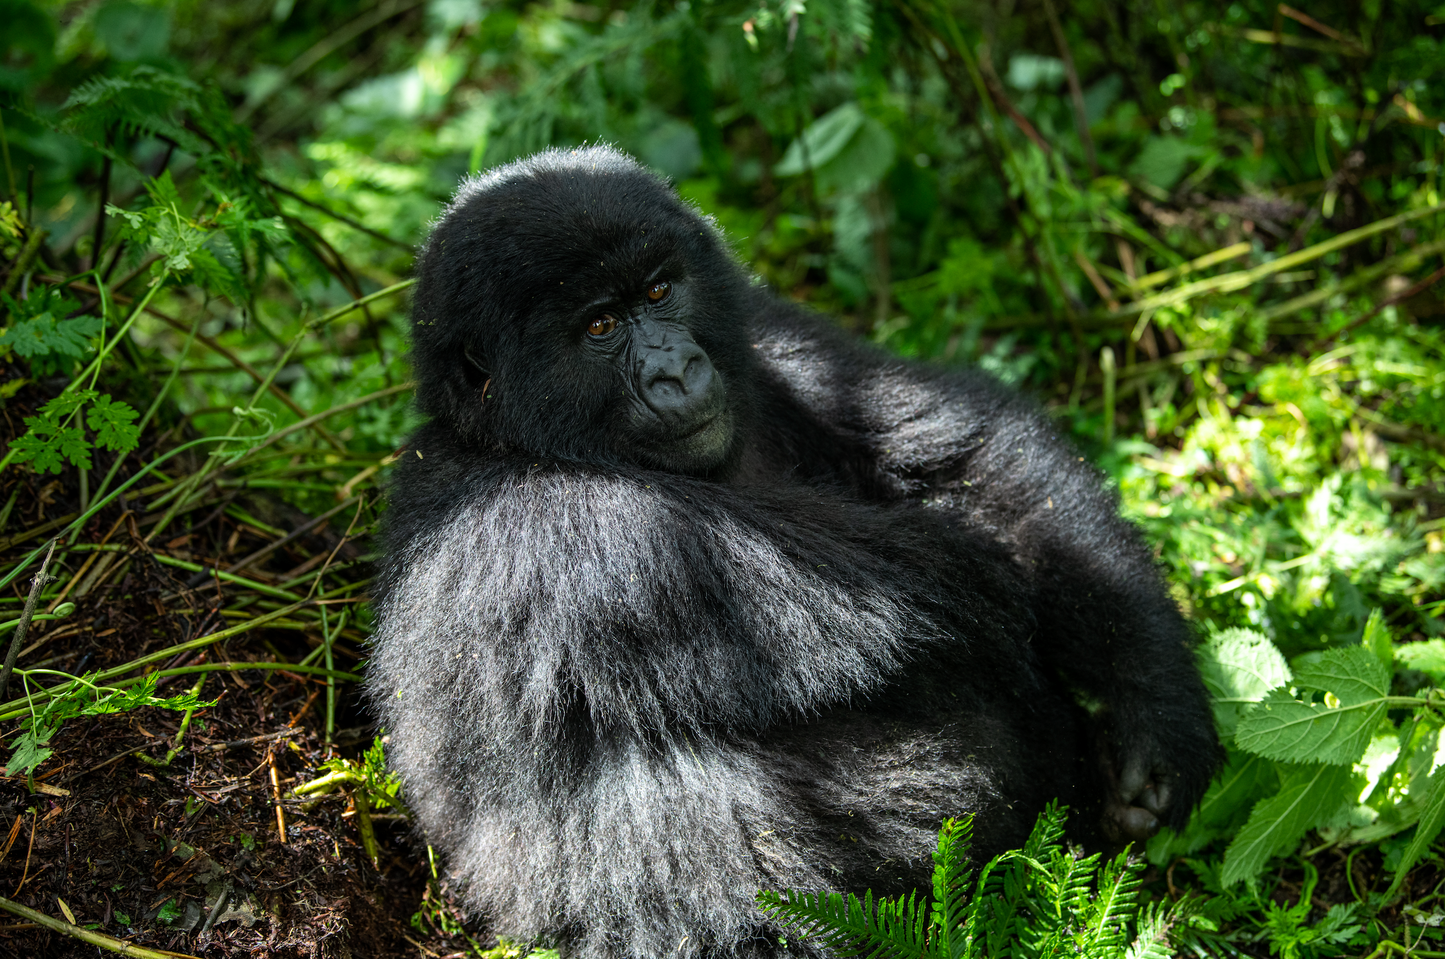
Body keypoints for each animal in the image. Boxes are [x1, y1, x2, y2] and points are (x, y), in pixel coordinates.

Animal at [369, 144, 1219, 959]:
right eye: (599, 328)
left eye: (658, 291)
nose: (676, 369)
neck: (509, 436)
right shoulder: (558, 524)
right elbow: (945, 596)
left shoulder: (769, 333)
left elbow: (972, 462)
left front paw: (1152, 707)